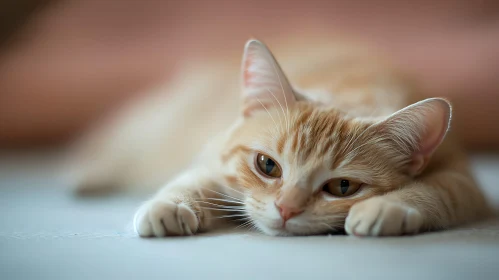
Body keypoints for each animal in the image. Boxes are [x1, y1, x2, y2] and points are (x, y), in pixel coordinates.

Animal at [68, 38, 494, 237]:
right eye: (267, 165)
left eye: (342, 187)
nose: (286, 209)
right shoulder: (212, 155)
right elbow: (195, 178)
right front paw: (170, 204)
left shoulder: (462, 178)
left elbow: (437, 190)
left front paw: (389, 207)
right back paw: (85, 175)